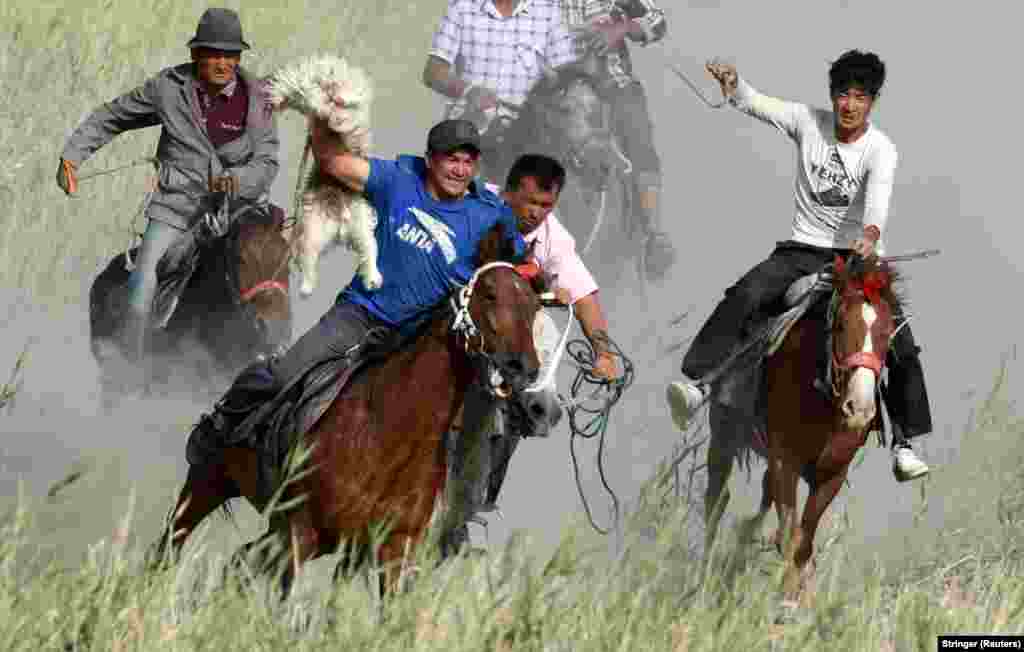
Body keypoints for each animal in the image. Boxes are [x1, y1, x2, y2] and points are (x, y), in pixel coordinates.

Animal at [148, 222, 548, 593]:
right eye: (490, 293)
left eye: (534, 306)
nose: (524, 368)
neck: (388, 433)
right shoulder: (299, 531)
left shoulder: (389, 553)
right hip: (211, 482)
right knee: (172, 541)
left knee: (239, 560)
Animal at [708, 253, 901, 601]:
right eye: (841, 325)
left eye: (888, 331)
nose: (859, 409)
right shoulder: (786, 461)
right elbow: (789, 535)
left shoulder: (831, 474)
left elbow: (803, 542)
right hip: (724, 431)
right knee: (715, 498)